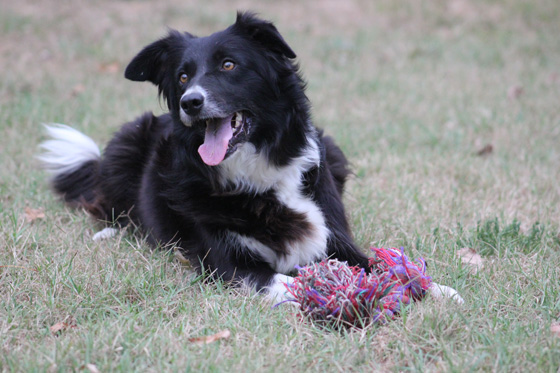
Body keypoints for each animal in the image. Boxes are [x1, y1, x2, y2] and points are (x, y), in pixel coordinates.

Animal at [38, 12, 460, 302]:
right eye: (182, 77)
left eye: (229, 65)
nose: (191, 102)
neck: (260, 170)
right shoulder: (230, 266)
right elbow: (289, 279)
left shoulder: (336, 238)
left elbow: (381, 267)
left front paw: (436, 290)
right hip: (125, 143)